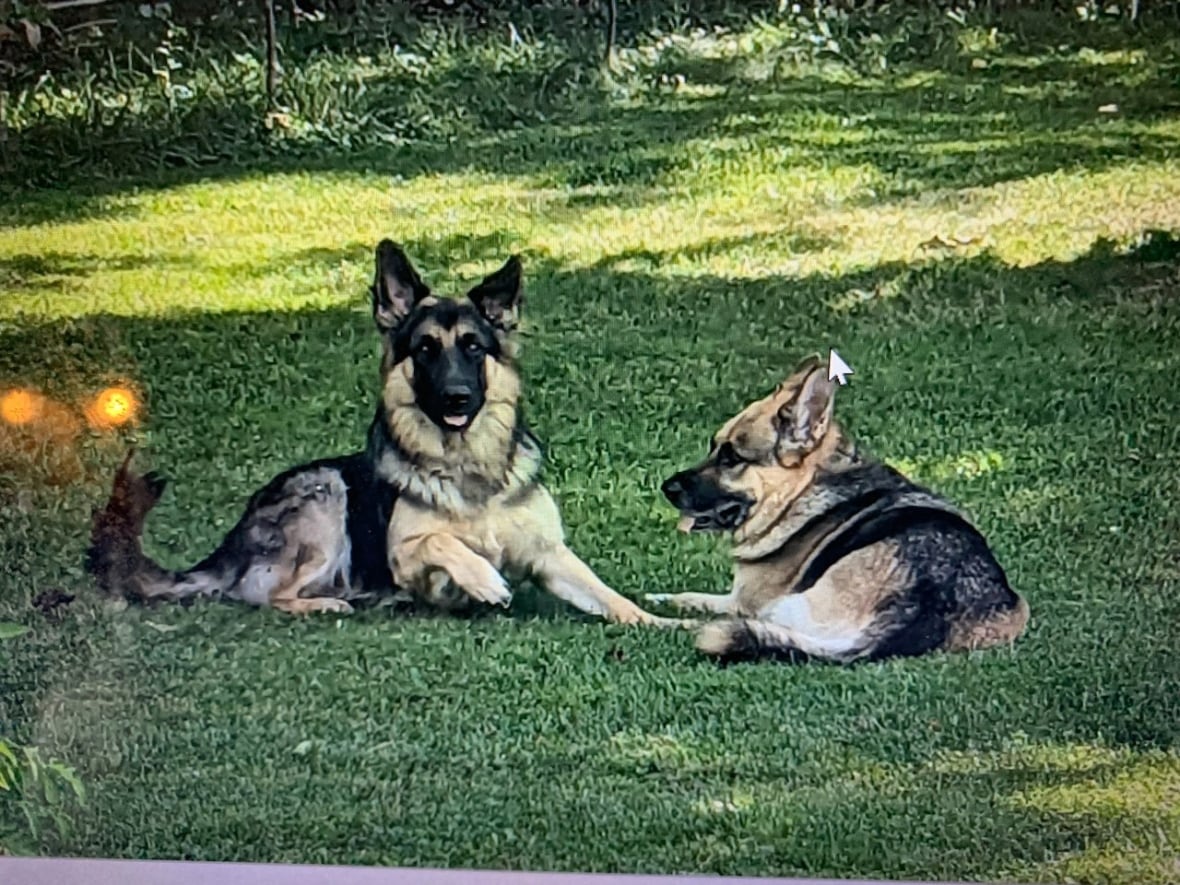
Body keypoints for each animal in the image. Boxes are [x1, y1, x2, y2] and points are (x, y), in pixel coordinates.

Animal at [651, 356, 1028, 665]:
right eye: (713, 447)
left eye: (731, 458)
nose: (666, 488)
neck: (799, 493)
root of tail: (917, 608)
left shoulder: (745, 600)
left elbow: (698, 599)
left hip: (775, 611)